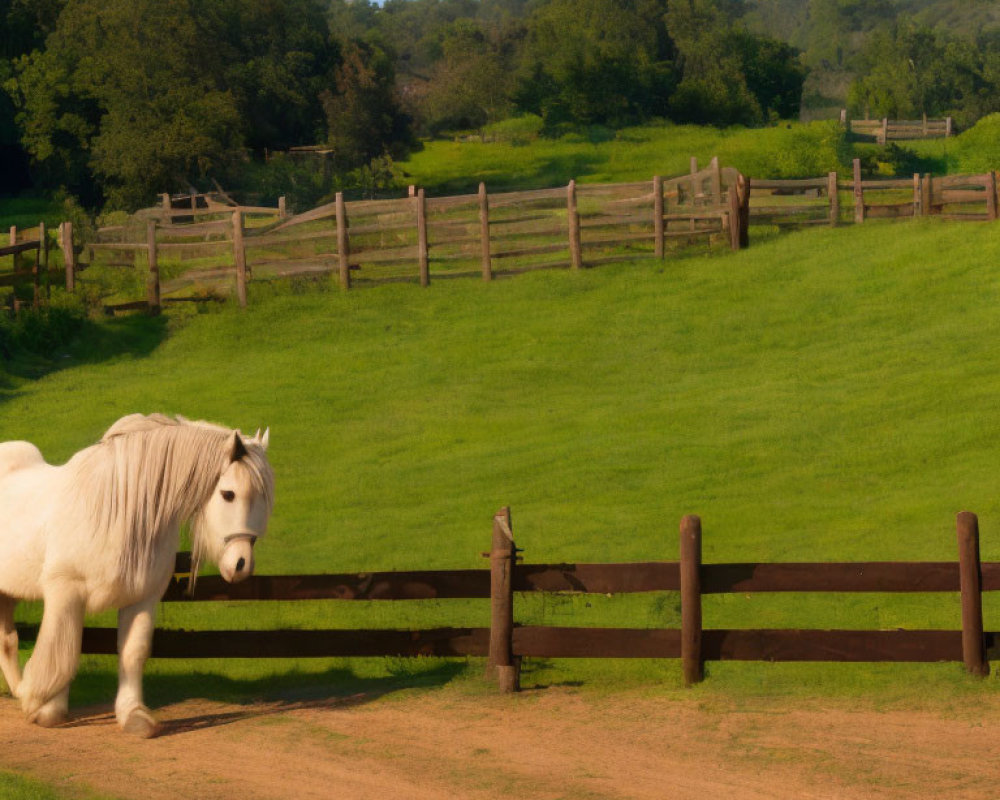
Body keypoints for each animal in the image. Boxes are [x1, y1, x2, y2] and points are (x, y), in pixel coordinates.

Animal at [0, 412, 274, 736]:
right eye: (228, 494)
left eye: (265, 499)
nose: (241, 564)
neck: (118, 511)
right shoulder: (66, 593)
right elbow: (62, 650)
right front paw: (44, 707)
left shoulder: (143, 598)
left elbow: (133, 653)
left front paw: (134, 715)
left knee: (7, 641)